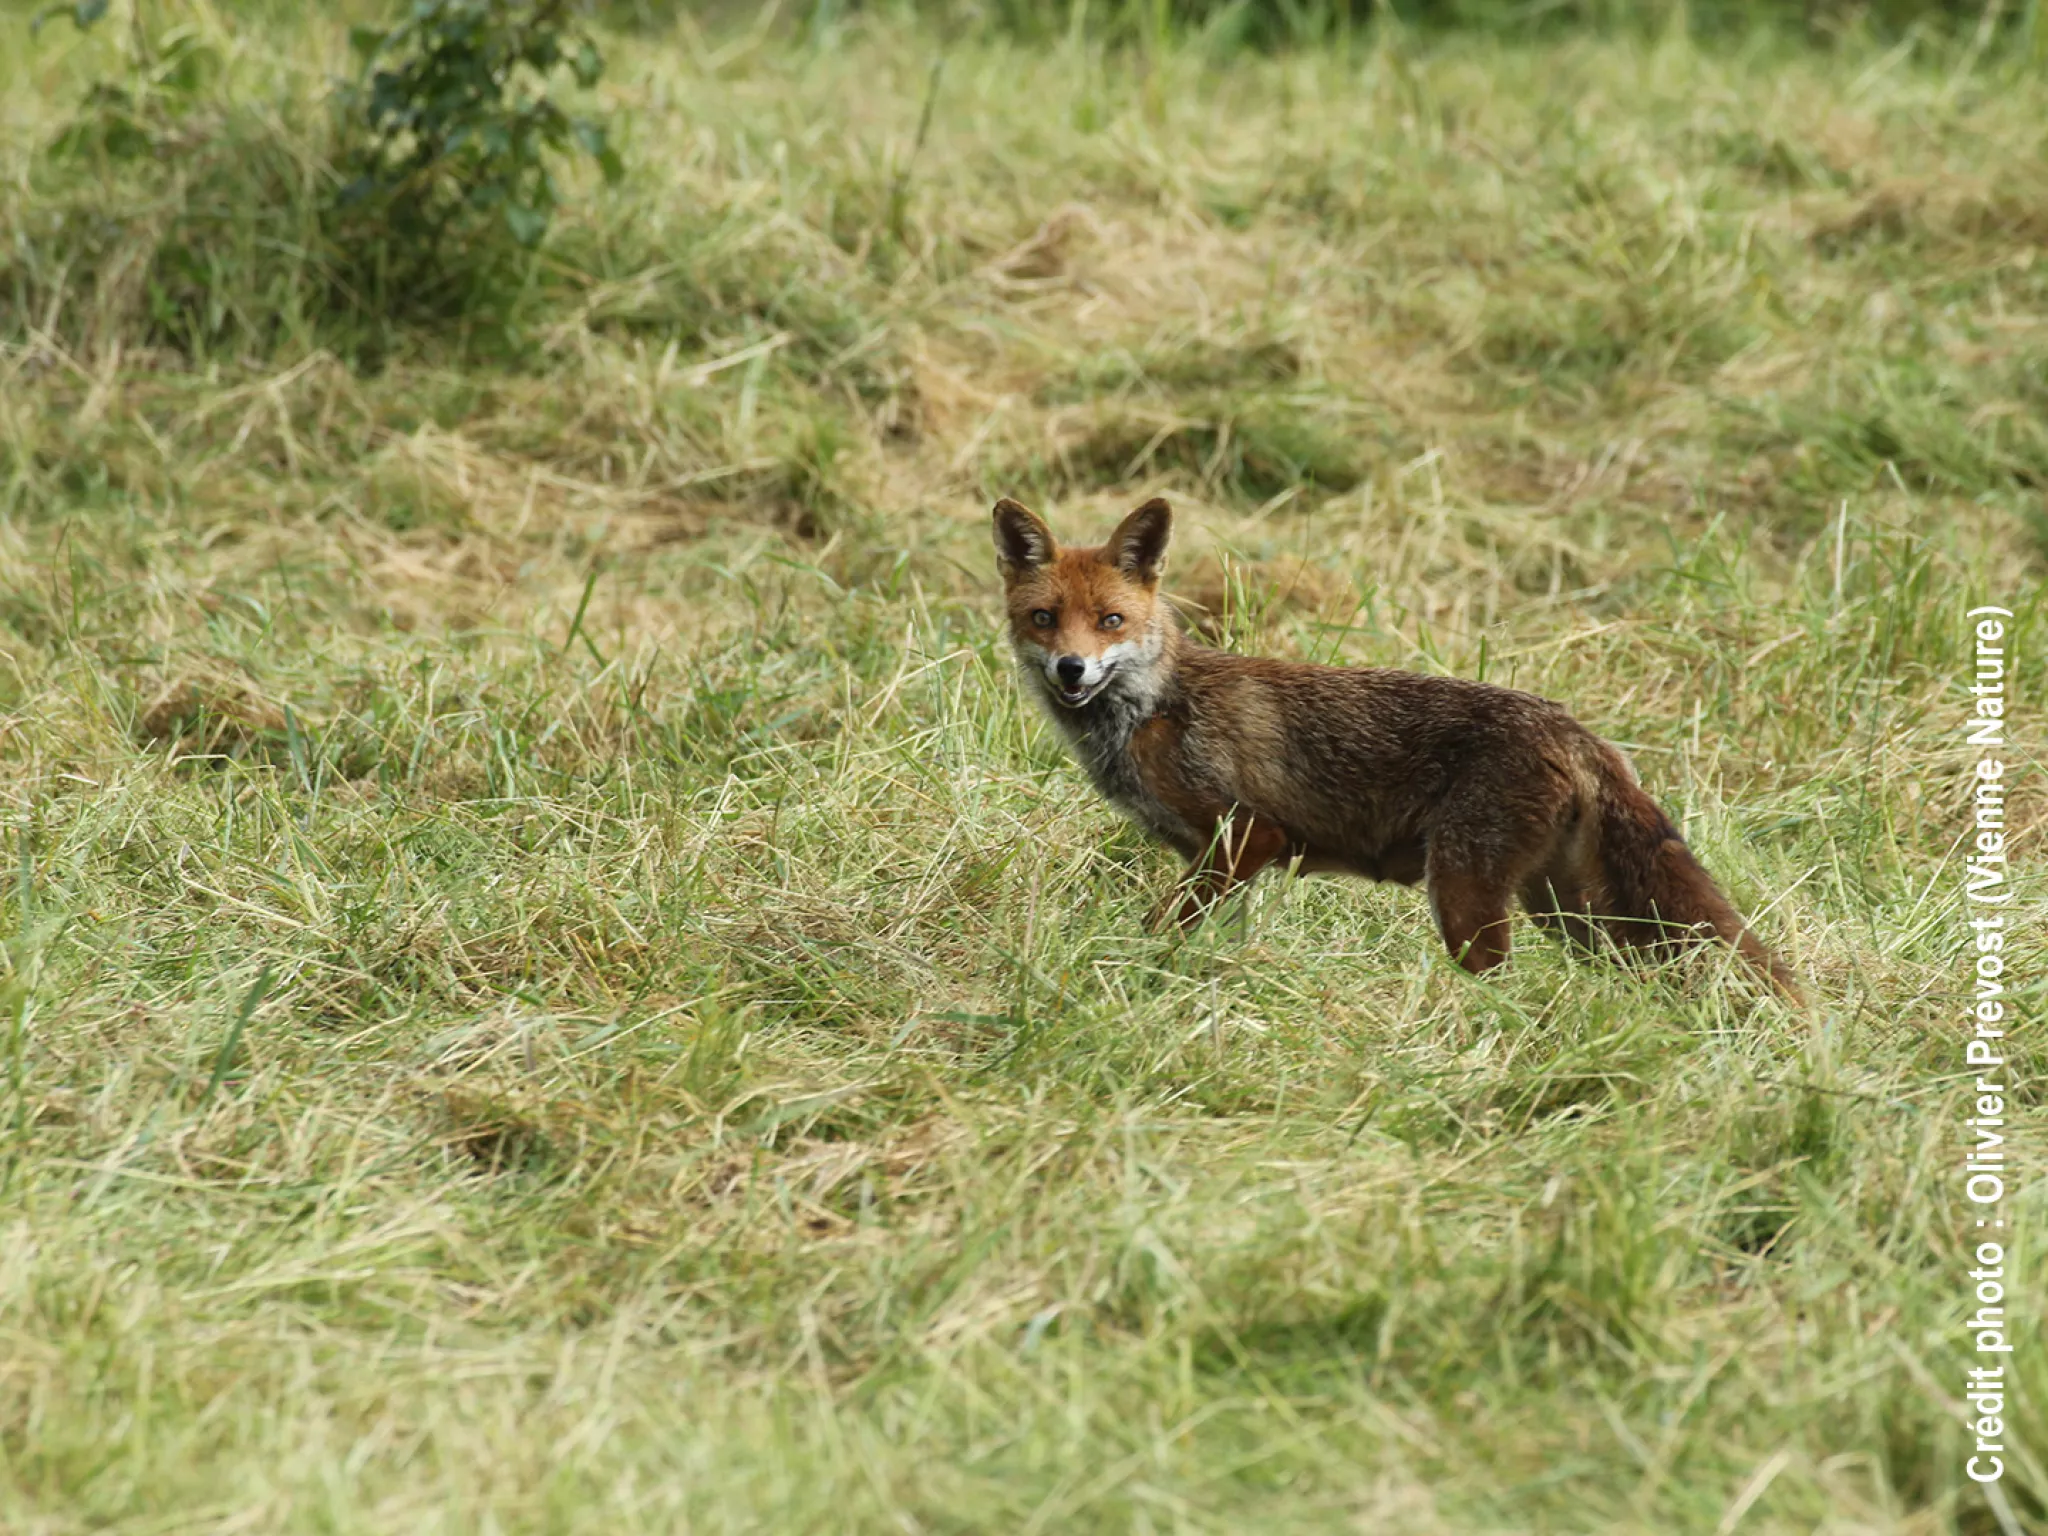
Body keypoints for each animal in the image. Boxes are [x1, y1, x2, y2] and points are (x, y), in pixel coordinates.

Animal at [991, 495, 1794, 999]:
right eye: (1044, 618)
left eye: (1111, 621)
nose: (1071, 669)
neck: (1151, 708)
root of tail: (1572, 725)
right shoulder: (1215, 859)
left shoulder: (1247, 834)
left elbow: (1159, 927)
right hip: (1571, 913)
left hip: (1469, 903)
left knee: (1507, 983)